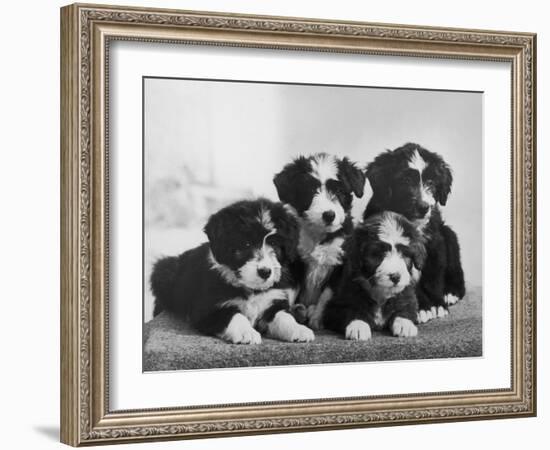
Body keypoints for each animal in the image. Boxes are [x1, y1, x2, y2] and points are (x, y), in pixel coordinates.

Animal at [151, 198, 314, 344]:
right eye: (246, 244)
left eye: (274, 243)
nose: (265, 272)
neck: (251, 289)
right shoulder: (209, 309)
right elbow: (234, 315)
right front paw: (246, 332)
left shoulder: (273, 301)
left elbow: (284, 316)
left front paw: (299, 329)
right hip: (164, 273)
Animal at [274, 153, 368, 328]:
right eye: (311, 190)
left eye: (339, 191)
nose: (329, 215)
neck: (319, 235)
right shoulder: (295, 262)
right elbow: (289, 290)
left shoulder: (340, 263)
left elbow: (327, 294)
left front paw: (317, 318)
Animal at [366, 142, 466, 322]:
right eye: (405, 181)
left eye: (431, 182)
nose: (423, 207)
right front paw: (423, 308)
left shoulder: (435, 244)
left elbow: (433, 278)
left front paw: (437, 305)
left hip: (448, 234)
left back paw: (451, 292)